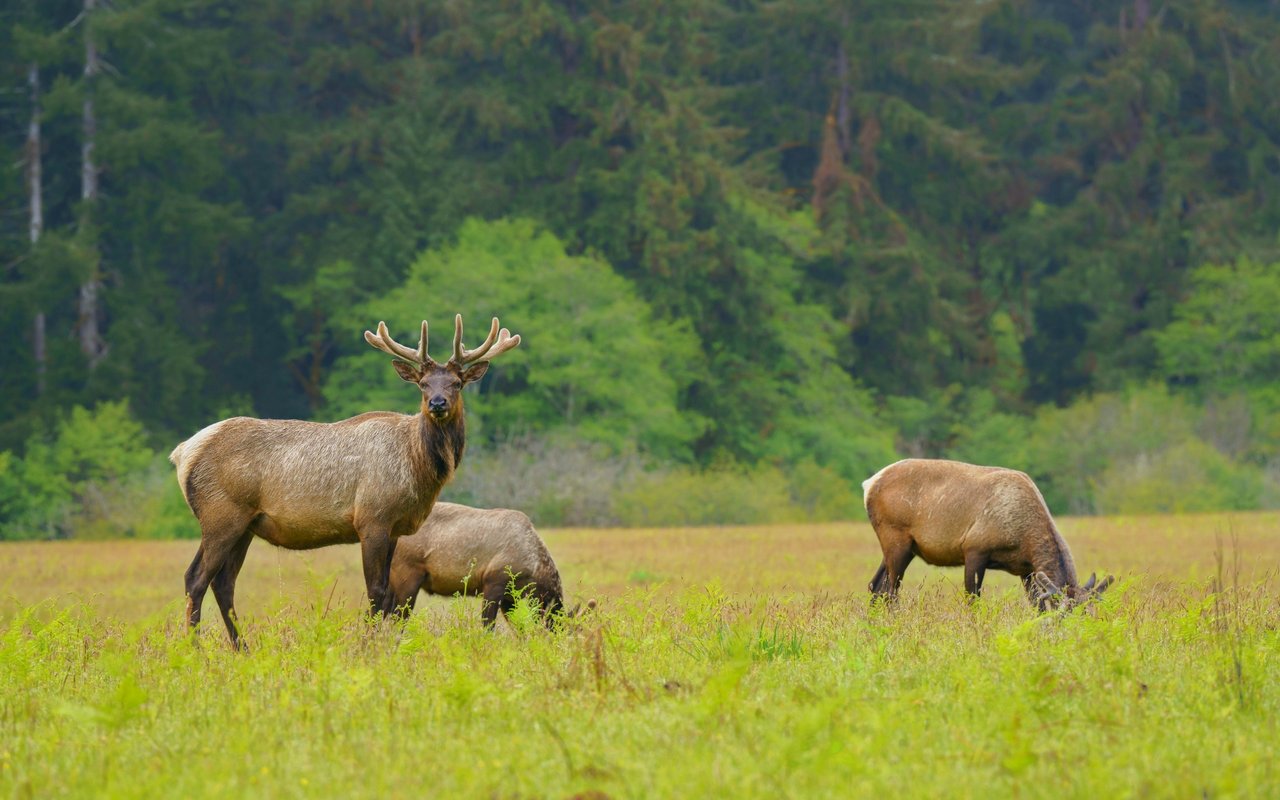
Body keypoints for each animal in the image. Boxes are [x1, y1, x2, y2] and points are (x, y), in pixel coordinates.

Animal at [170, 315, 519, 648]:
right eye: (423, 384)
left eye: (457, 383)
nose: (437, 403)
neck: (416, 469)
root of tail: (183, 453)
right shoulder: (372, 519)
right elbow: (377, 592)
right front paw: (367, 648)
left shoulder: (394, 528)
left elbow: (388, 597)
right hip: (221, 516)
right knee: (195, 578)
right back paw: (195, 648)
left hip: (245, 524)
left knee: (223, 582)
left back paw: (242, 648)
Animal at [388, 501, 593, 628]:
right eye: (561, 630)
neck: (534, 569)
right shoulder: (494, 582)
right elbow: (488, 626)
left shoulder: (510, 596)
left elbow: (519, 628)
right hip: (408, 575)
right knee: (397, 619)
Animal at [862, 458, 1113, 610]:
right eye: (1066, 614)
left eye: (1090, 613)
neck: (1023, 538)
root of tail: (868, 484)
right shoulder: (974, 550)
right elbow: (972, 601)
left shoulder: (1026, 570)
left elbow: (1037, 606)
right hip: (895, 538)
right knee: (890, 591)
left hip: (904, 547)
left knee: (875, 585)